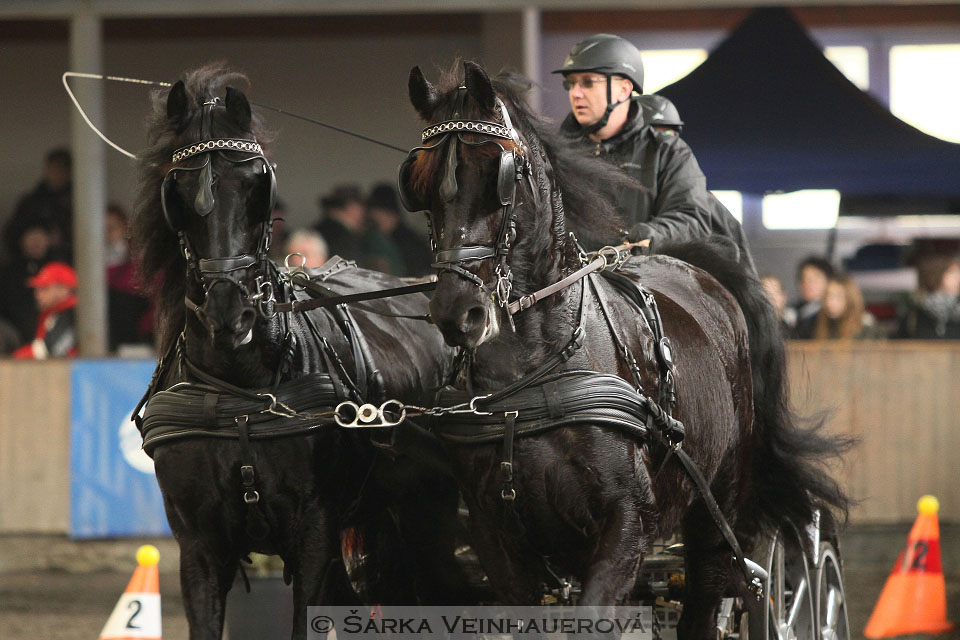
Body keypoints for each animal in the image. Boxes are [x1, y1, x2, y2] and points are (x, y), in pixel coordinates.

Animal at [131, 65, 468, 640]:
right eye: (176, 190)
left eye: (257, 185)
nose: (230, 313)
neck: (242, 393)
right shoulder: (198, 545)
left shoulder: (314, 535)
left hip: (425, 520)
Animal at [398, 62, 848, 636]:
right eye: (419, 183)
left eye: (498, 174)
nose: (458, 313)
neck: (530, 382)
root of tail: (699, 272)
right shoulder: (494, 536)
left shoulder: (628, 518)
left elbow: (598, 609)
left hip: (717, 511)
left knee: (708, 597)